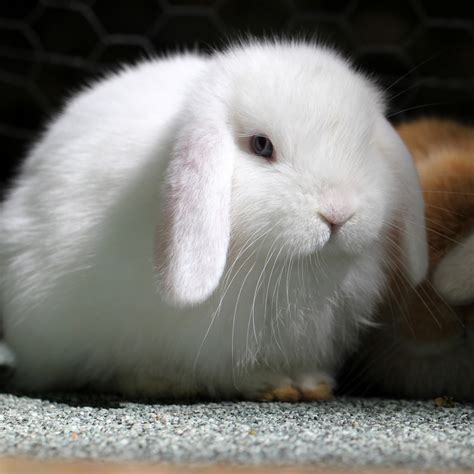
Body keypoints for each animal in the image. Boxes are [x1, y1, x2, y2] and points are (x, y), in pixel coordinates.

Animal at [0, 40, 430, 400]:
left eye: (365, 145)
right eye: (261, 146)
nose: (337, 212)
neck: (296, 269)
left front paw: (312, 385)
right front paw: (274, 385)